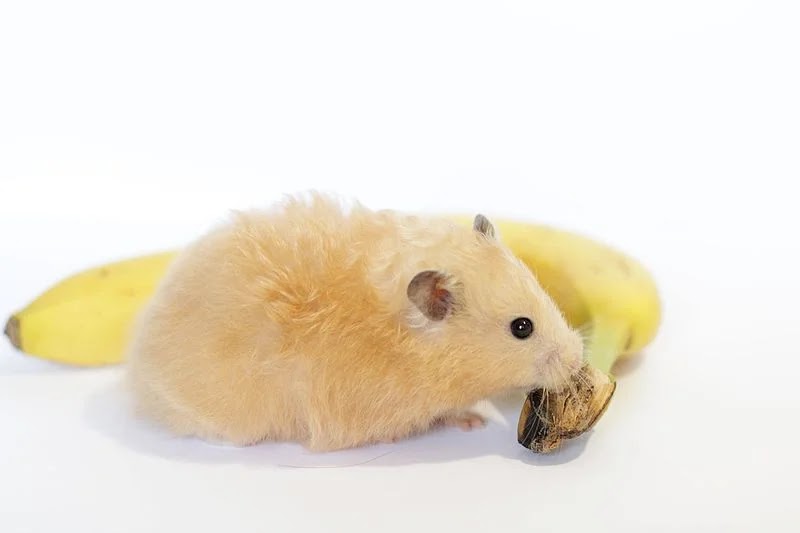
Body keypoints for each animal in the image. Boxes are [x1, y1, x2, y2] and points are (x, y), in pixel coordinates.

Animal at [125, 192, 585, 451]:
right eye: (522, 328)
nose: (577, 359)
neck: (411, 345)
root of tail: (138, 360)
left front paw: (474, 418)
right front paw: (469, 421)